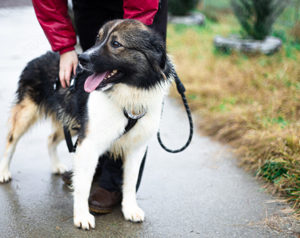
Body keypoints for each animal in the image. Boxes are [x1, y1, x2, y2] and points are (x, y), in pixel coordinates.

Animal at [0, 19, 173, 229]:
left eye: (116, 44)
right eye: (98, 38)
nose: (81, 58)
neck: (128, 95)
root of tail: (38, 58)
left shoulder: (136, 146)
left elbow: (130, 181)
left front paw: (130, 209)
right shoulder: (88, 143)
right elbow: (83, 184)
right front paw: (82, 216)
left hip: (73, 124)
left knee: (50, 139)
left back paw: (56, 166)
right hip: (27, 113)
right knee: (11, 141)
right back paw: (4, 172)